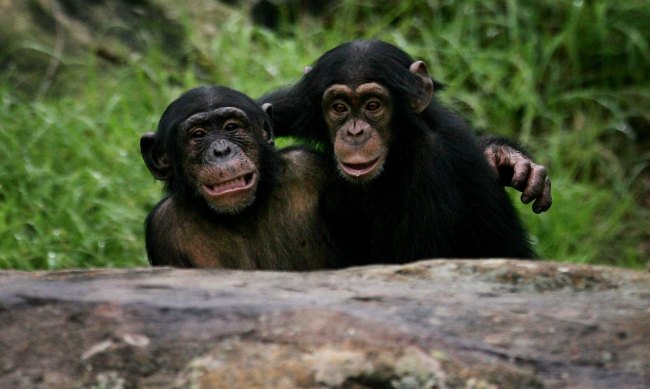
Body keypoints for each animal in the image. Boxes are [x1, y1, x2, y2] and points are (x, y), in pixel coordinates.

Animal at [139, 84, 336, 268]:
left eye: (231, 127)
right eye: (198, 134)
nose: (221, 150)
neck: (242, 214)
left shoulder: (308, 166)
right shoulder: (163, 225)